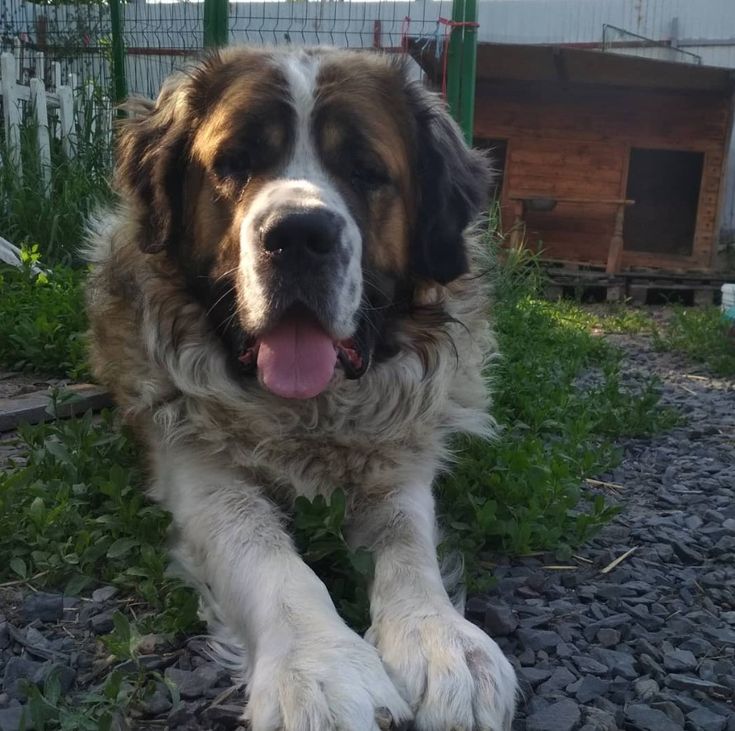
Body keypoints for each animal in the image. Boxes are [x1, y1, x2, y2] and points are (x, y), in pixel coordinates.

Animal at [86, 47, 516, 731]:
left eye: (366, 170)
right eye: (234, 163)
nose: (298, 235)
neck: (310, 414)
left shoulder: (397, 463)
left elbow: (408, 541)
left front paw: (442, 640)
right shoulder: (200, 473)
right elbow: (269, 557)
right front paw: (320, 668)